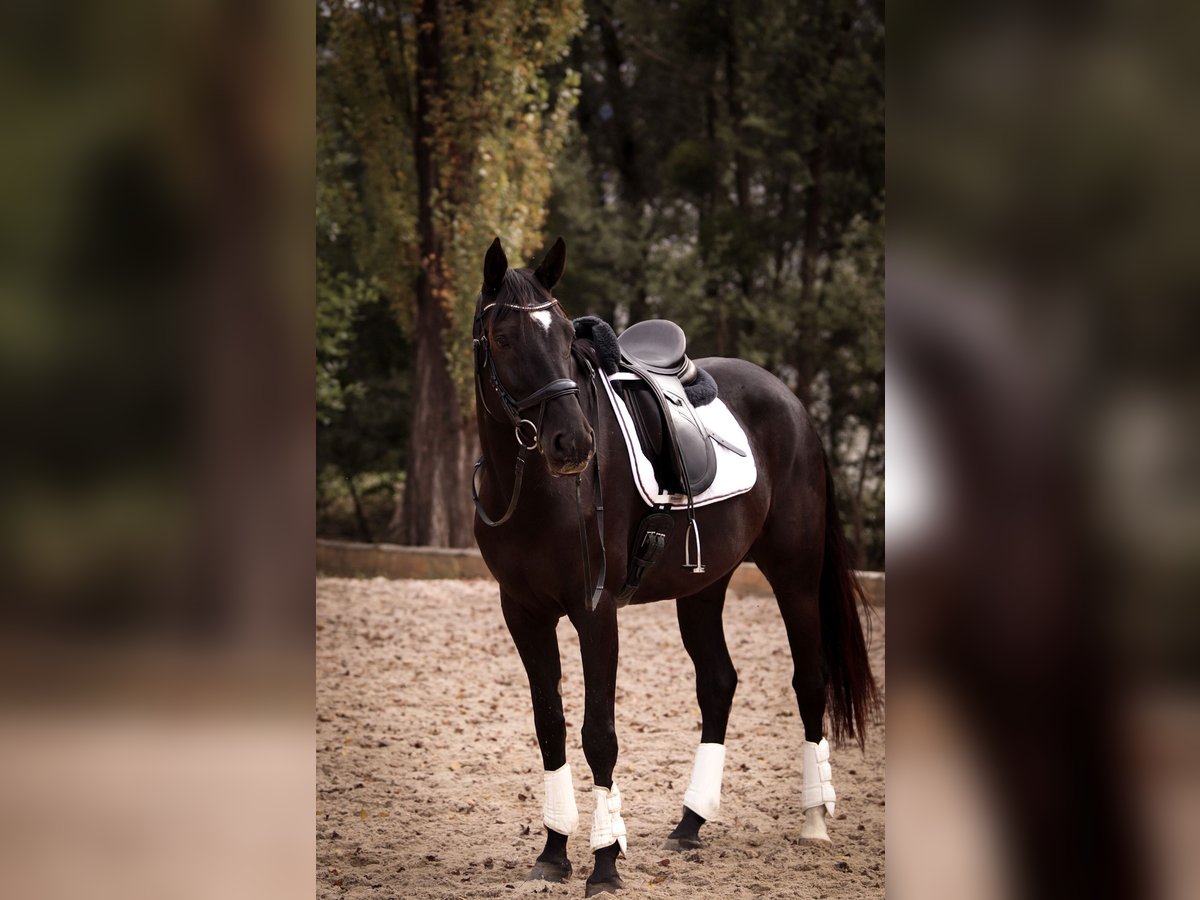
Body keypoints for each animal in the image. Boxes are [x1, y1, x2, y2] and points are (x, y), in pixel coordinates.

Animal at [471, 236, 878, 896]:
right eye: (504, 338)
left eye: (564, 335)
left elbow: (599, 733)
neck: (536, 490)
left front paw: (605, 861)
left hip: (794, 574)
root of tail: (791, 401)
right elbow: (550, 724)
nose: (573, 444)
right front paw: (554, 851)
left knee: (808, 678)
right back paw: (690, 822)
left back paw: (815, 818)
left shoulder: (595, 612)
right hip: (704, 584)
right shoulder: (524, 613)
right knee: (718, 684)